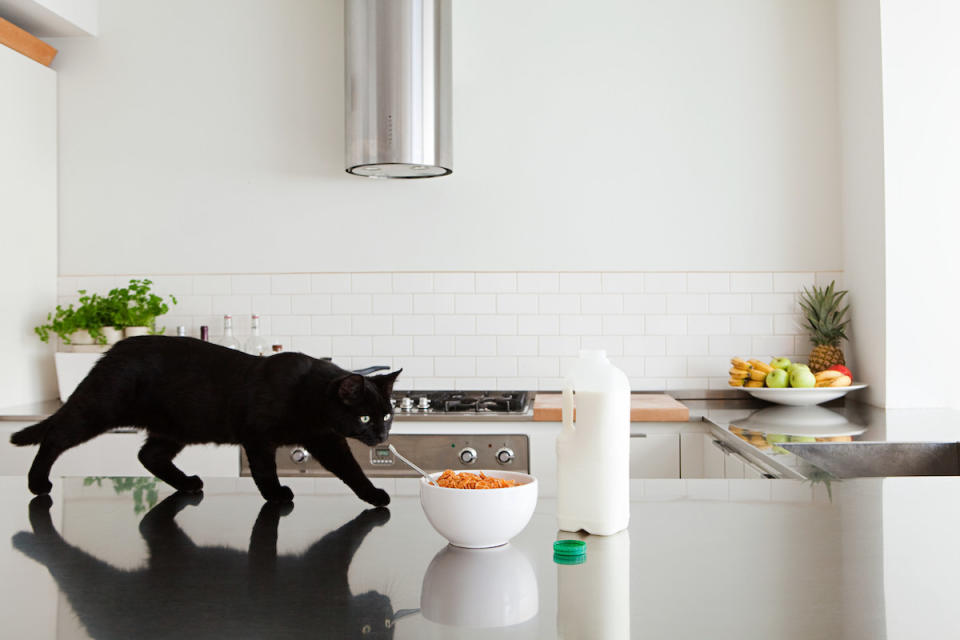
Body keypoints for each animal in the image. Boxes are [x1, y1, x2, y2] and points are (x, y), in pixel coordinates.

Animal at [8, 336, 398, 504]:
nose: (381, 435)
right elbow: (264, 470)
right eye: (365, 416)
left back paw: (187, 483)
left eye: (389, 415)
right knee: (56, 436)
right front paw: (276, 495)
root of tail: (114, 348)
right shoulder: (258, 437)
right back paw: (37, 483)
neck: (307, 394)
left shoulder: (325, 439)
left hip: (177, 428)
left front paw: (373, 494)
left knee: (148, 455)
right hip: (99, 409)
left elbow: (351, 469)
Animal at [12, 492, 416, 636]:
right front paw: (375, 508)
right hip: (111, 599)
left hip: (176, 556)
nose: (387, 608)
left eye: (387, 625)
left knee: (149, 527)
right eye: (367, 629)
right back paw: (23, 540)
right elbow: (349, 537)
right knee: (73, 571)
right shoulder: (322, 564)